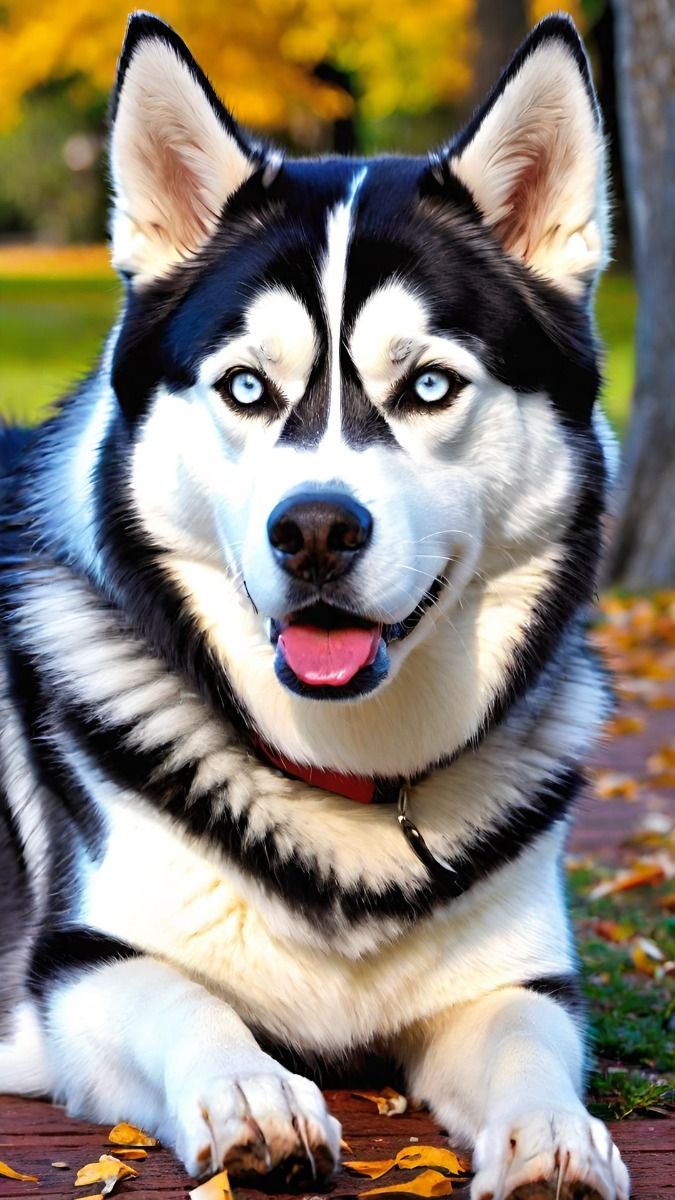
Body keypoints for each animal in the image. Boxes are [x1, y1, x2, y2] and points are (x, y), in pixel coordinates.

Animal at [0, 11, 630, 1199]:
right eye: (247, 387)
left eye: (428, 385)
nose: (317, 531)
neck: (347, 778)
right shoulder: (75, 973)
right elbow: (183, 999)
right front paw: (254, 1095)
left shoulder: (517, 980)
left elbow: (528, 1042)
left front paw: (556, 1133)